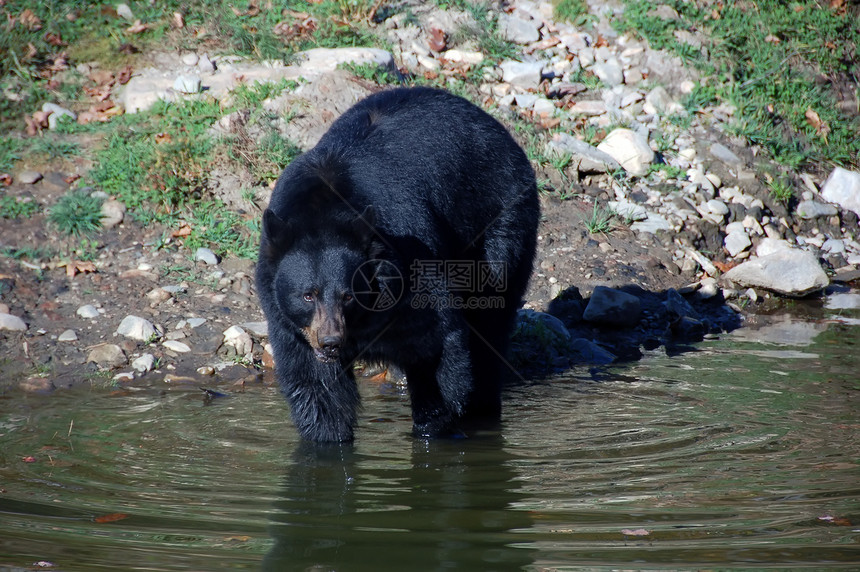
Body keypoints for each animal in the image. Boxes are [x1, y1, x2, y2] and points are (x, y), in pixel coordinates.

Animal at [255, 87, 536, 442]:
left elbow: (436, 345)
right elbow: (316, 386)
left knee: (490, 323)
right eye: (308, 295)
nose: (331, 342)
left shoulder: (409, 258)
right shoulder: (292, 325)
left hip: (499, 221)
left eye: (349, 295)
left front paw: (433, 428)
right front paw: (327, 438)